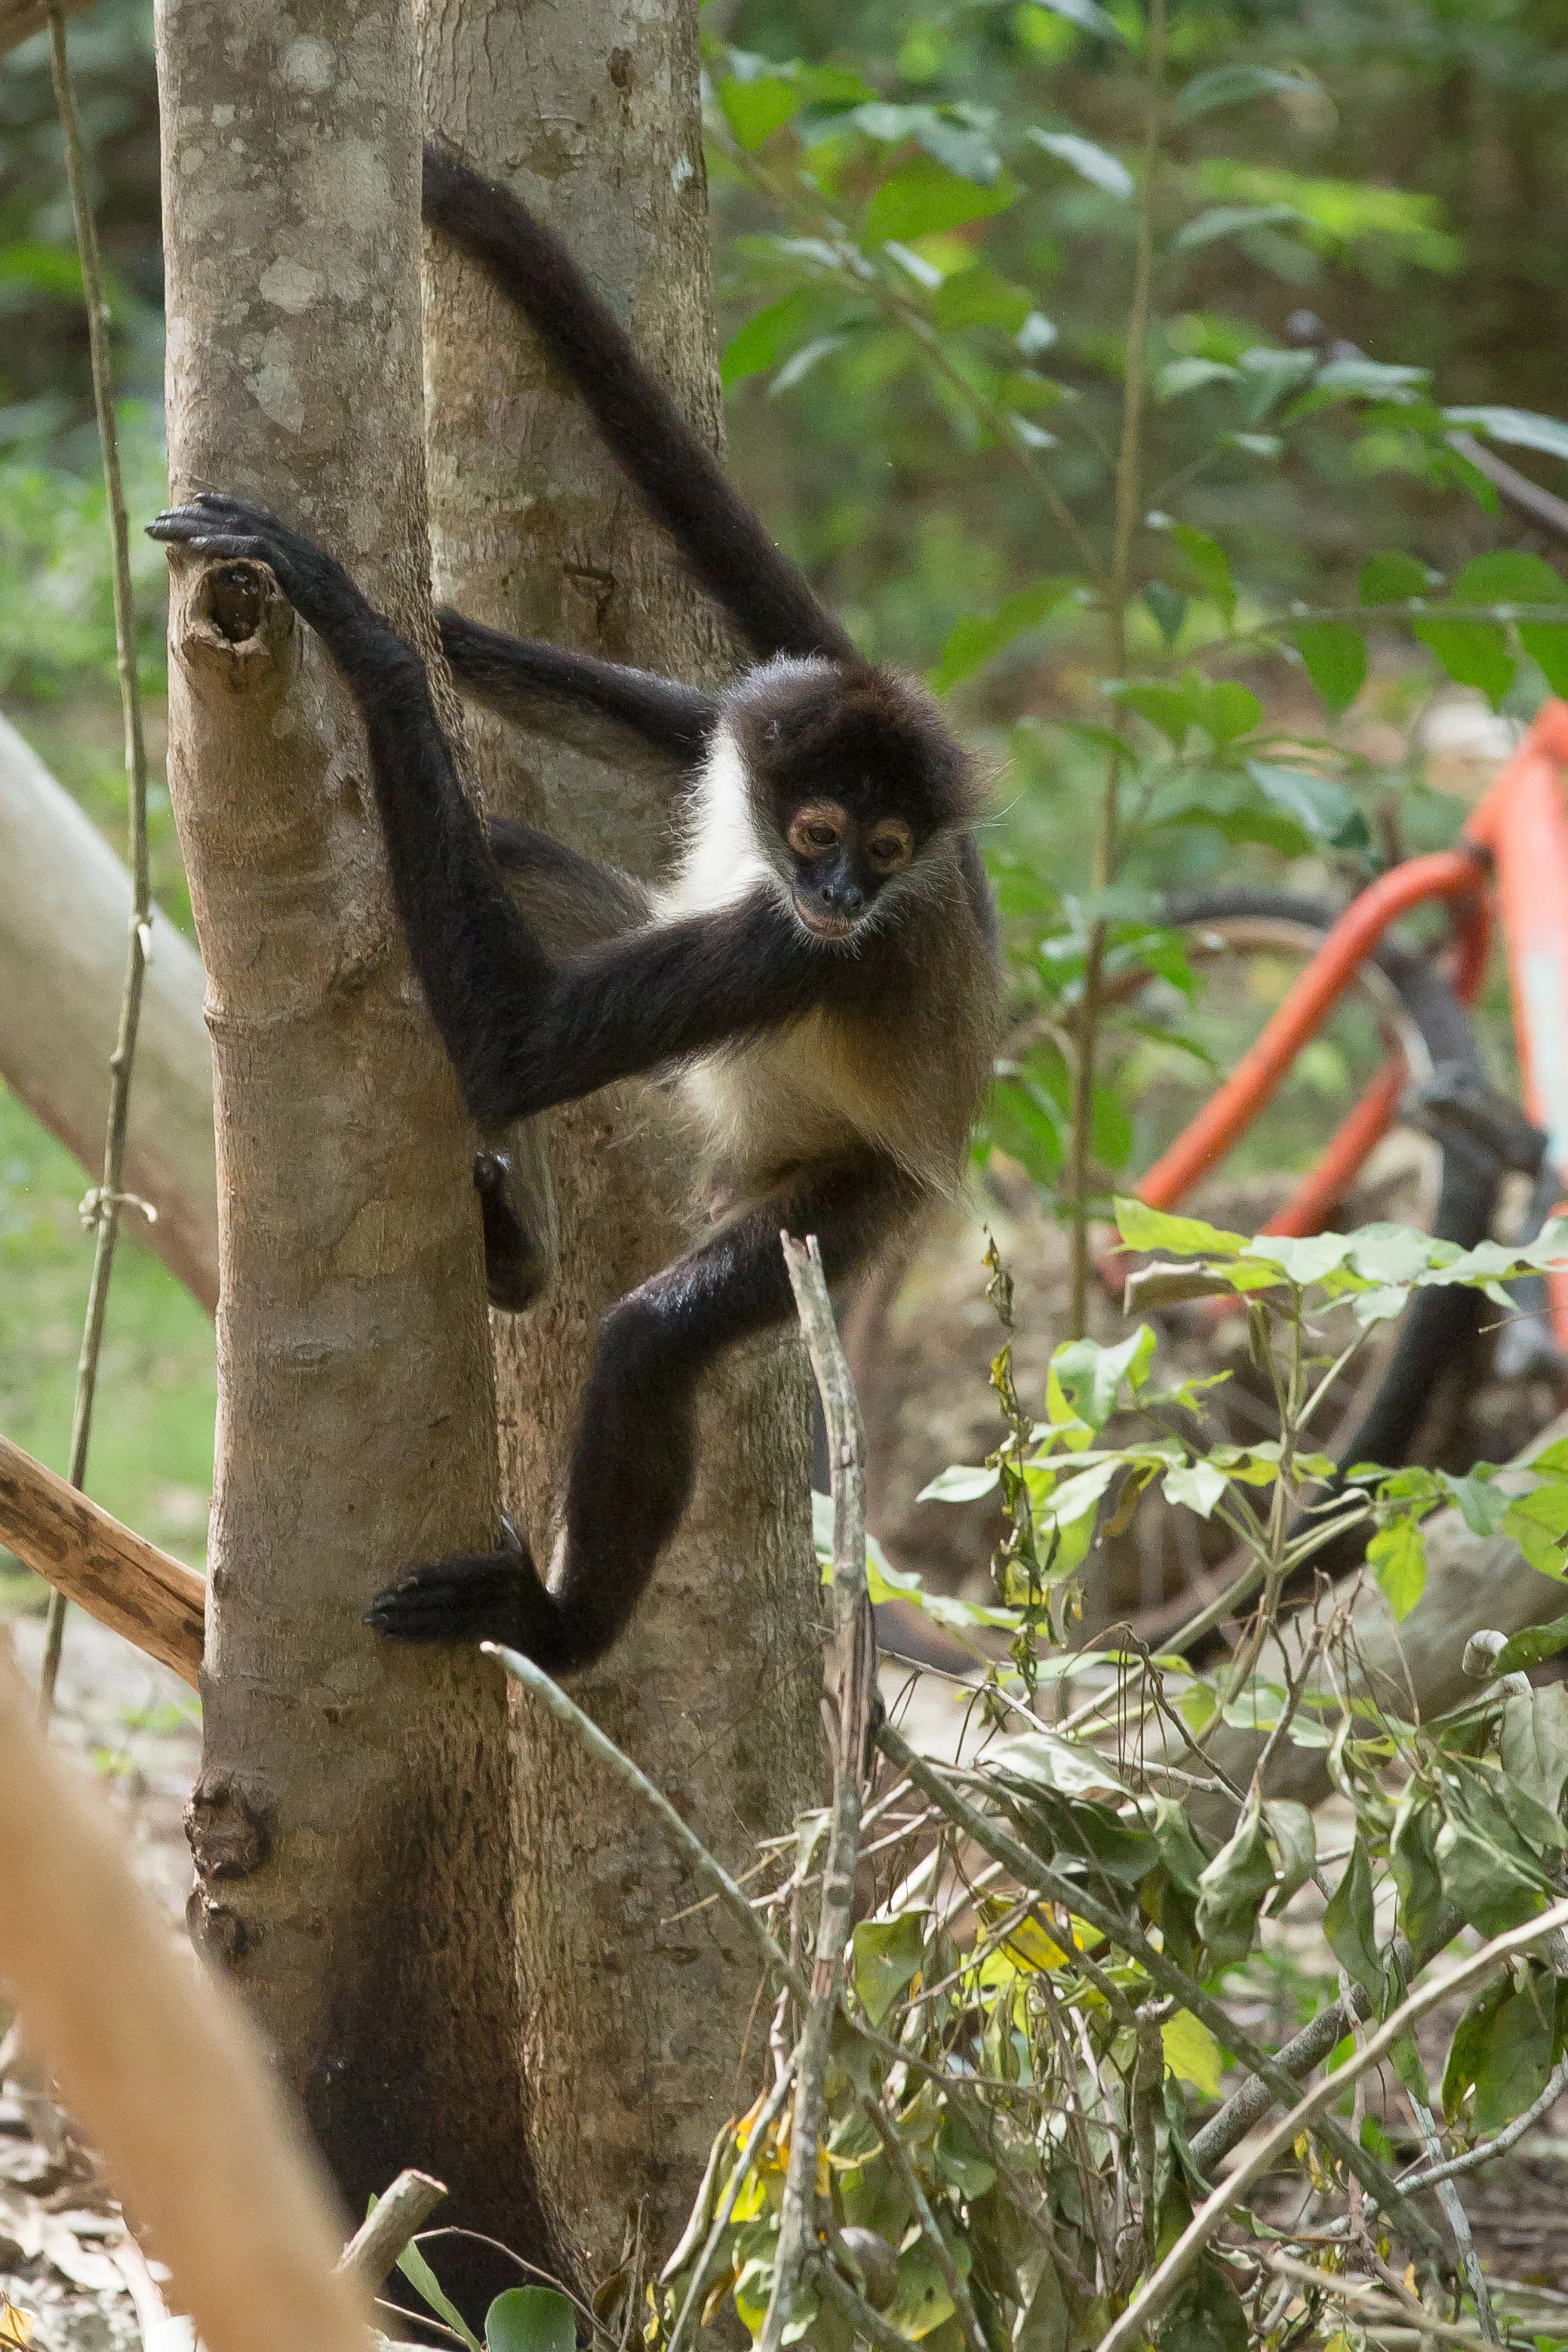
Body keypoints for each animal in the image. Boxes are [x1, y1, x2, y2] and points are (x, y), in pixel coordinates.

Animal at [146, 146, 999, 1676]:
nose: (844, 890)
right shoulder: (753, 745)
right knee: (511, 853)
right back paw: (521, 1253)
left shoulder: (821, 952)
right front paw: (438, 628)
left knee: (654, 1333)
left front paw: (366, 631)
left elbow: (520, 1045)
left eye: (881, 847)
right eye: (821, 832)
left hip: (858, 1195)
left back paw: (555, 1628)